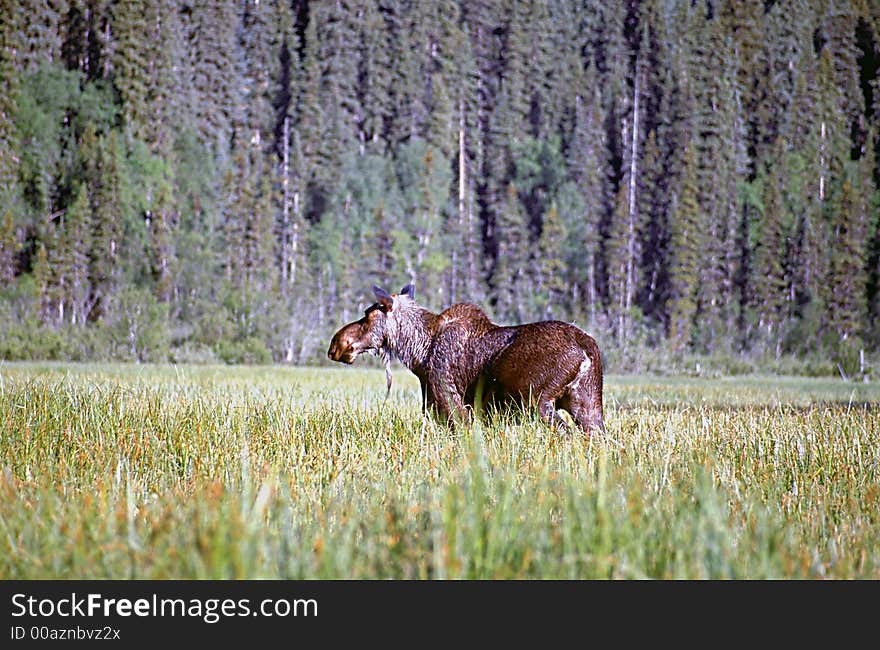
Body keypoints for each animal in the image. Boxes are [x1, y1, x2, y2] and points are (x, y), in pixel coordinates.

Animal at [326, 284, 608, 436]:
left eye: (367, 316)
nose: (336, 345)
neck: (418, 353)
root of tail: (587, 349)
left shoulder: (450, 402)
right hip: (588, 403)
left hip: (537, 401)